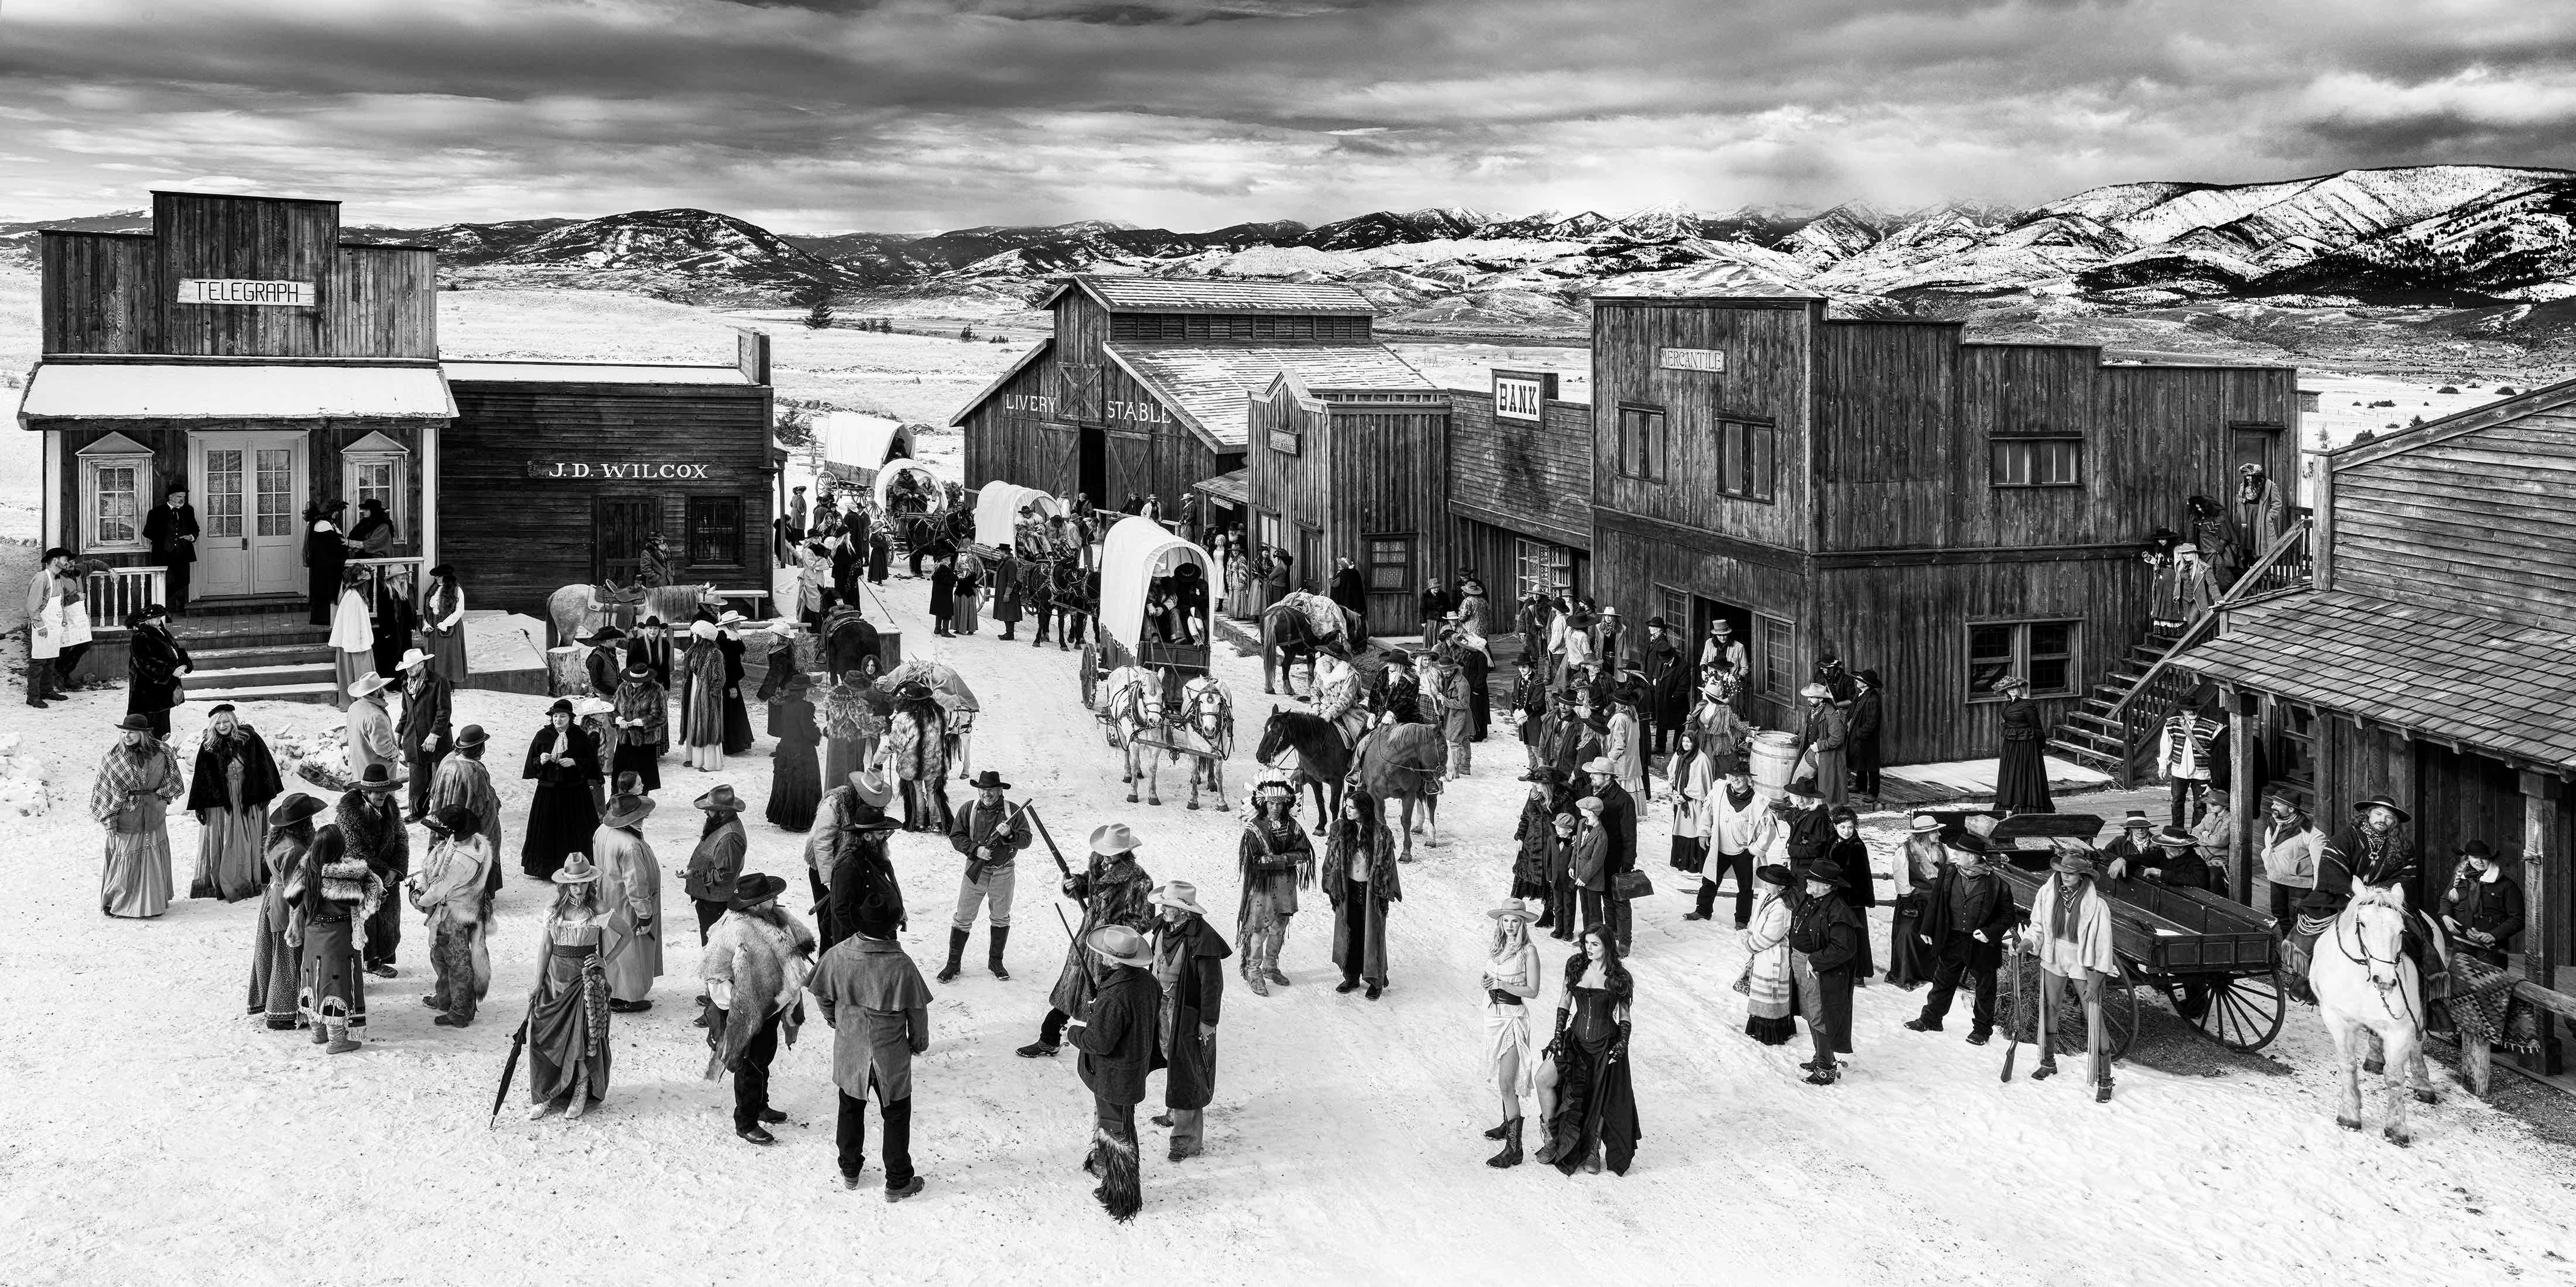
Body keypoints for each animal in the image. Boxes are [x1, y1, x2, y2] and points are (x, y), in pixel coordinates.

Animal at [1257, 710, 1360, 829]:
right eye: (1265, 729)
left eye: (1276, 731)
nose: (1260, 756)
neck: (1321, 747)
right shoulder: (1313, 780)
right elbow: (1319, 801)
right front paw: (1321, 826)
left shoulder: (1337, 781)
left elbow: (1333, 806)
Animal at [2318, 885, 2431, 1148]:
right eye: (2363, 924)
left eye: (2401, 930)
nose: (2386, 981)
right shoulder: (2337, 1019)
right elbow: (2348, 1064)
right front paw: (2350, 1114)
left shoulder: (2401, 1030)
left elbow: (2395, 1077)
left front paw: (2397, 1128)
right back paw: (2374, 1058)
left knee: (2418, 1044)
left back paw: (2423, 1083)